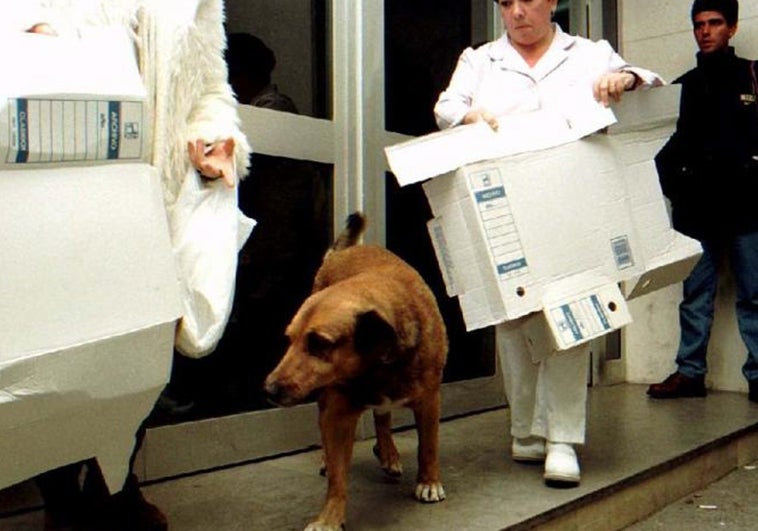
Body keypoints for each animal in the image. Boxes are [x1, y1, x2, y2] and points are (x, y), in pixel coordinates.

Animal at [264, 213, 448, 531]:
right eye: (289, 339)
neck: (377, 365)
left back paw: (388, 453)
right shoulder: (337, 414)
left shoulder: (429, 400)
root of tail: (343, 251)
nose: (270, 390)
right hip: (324, 398)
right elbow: (338, 478)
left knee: (382, 417)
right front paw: (329, 518)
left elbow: (428, 446)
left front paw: (428, 482)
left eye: (319, 343)